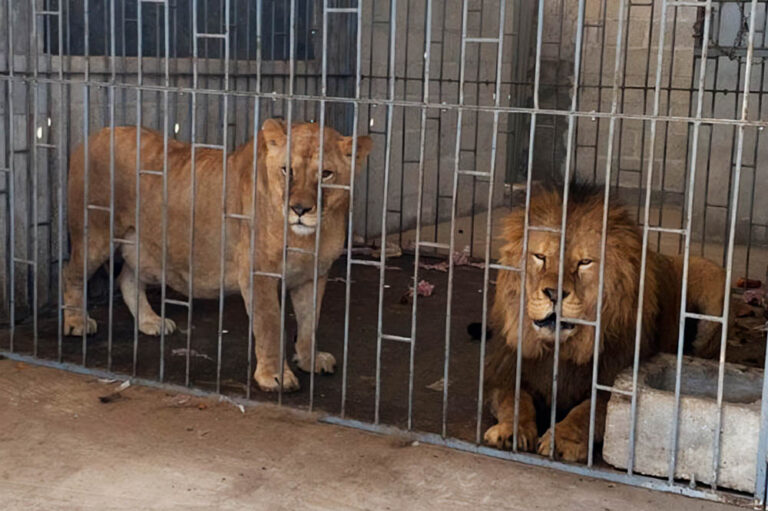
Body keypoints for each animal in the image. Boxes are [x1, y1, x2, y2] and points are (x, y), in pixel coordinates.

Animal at [62, 119, 372, 392]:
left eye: (326, 174)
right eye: (287, 170)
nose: (299, 209)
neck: (307, 238)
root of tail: (95, 135)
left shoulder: (313, 276)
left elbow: (310, 323)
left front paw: (309, 360)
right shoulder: (257, 274)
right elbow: (270, 325)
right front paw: (274, 377)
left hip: (146, 249)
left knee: (127, 278)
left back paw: (150, 321)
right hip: (95, 235)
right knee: (72, 274)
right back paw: (77, 322)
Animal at [482, 181, 725, 462]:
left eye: (585, 263)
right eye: (540, 257)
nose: (554, 293)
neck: (562, 350)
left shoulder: (613, 381)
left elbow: (587, 413)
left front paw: (561, 440)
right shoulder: (505, 371)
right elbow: (514, 400)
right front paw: (510, 431)